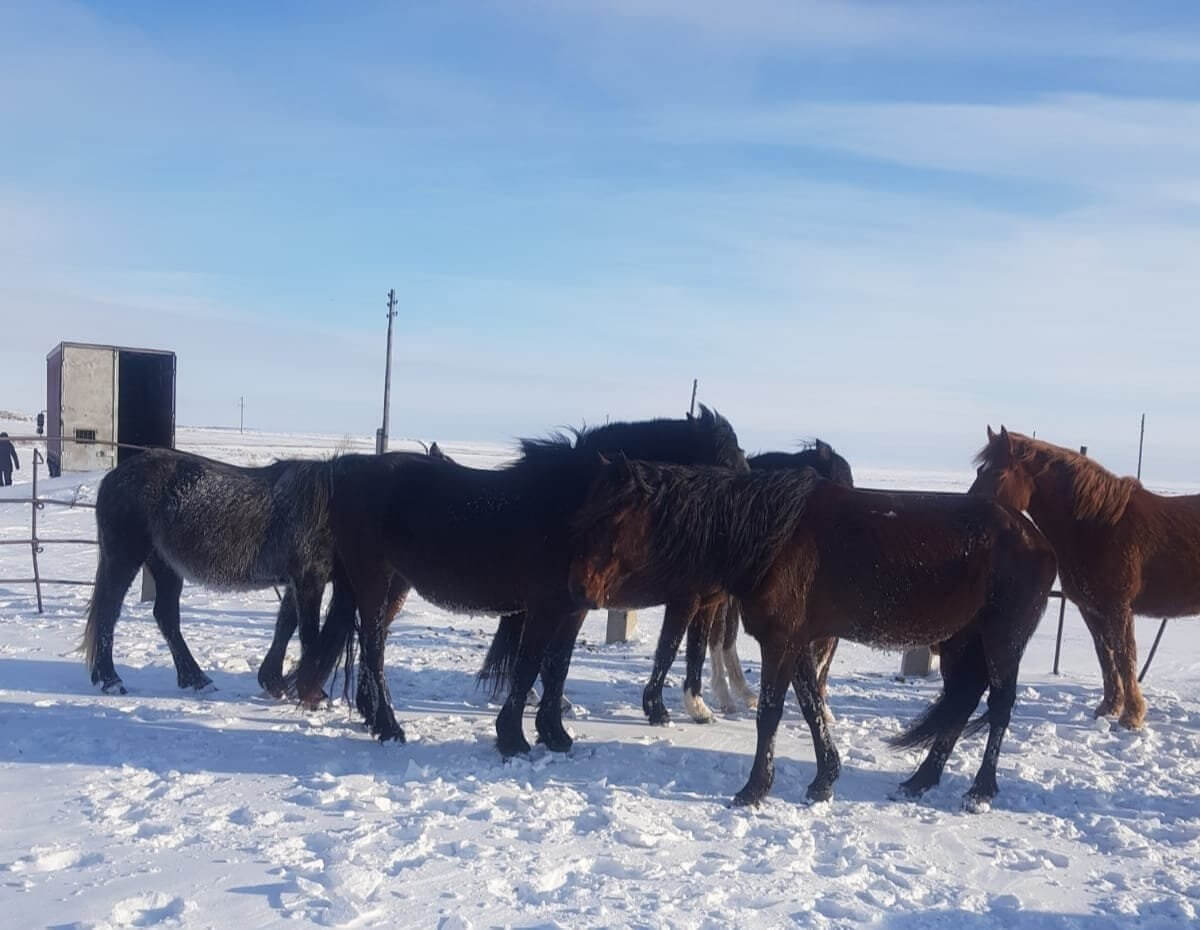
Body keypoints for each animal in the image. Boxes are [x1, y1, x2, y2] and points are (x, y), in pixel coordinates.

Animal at [82, 448, 343, 700]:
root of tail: (113, 477)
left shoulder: (298, 580)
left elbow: (286, 625)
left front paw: (274, 683)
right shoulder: (308, 578)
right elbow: (307, 631)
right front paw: (314, 694)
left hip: (166, 565)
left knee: (165, 616)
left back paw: (196, 680)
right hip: (124, 559)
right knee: (109, 611)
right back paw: (111, 680)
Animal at [477, 408, 748, 729]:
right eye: (719, 462)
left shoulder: (706, 599)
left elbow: (695, 649)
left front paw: (698, 708)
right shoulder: (684, 598)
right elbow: (667, 650)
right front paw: (658, 709)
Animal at [566, 460, 1056, 811]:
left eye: (613, 521)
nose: (578, 587)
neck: (772, 536)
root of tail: (1035, 535)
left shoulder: (780, 641)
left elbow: (770, 714)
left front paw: (754, 790)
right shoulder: (799, 642)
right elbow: (811, 708)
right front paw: (823, 781)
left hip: (1002, 640)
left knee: (999, 706)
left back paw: (980, 792)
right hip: (960, 641)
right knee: (962, 703)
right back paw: (920, 781)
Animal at [969, 427, 1200, 729]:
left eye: (999, 473)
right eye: (979, 470)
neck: (1097, 526)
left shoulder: (1118, 608)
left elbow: (1125, 656)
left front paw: (1131, 716)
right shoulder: (1091, 609)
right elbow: (1106, 656)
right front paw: (1109, 707)